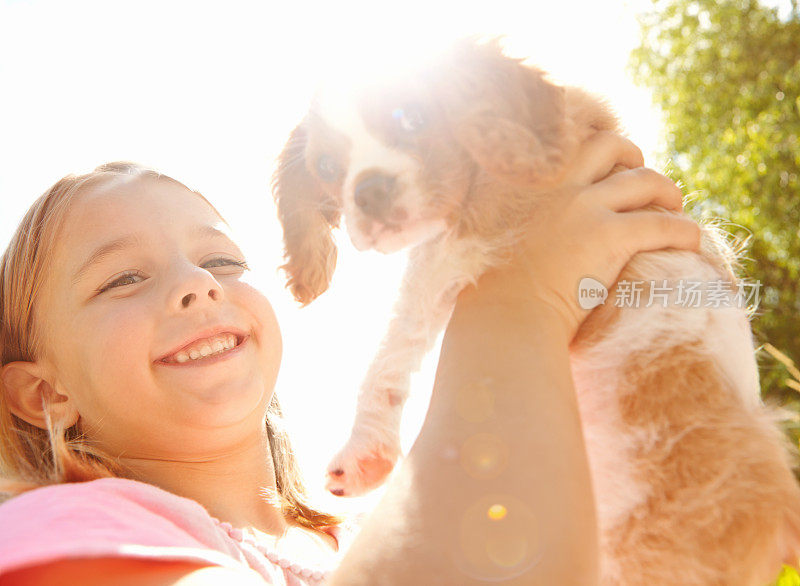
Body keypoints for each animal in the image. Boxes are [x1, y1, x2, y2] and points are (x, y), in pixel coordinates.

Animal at [274, 38, 800, 580]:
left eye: (413, 117)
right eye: (327, 169)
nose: (369, 191)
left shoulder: (474, 231)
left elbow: (397, 333)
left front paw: (363, 448)